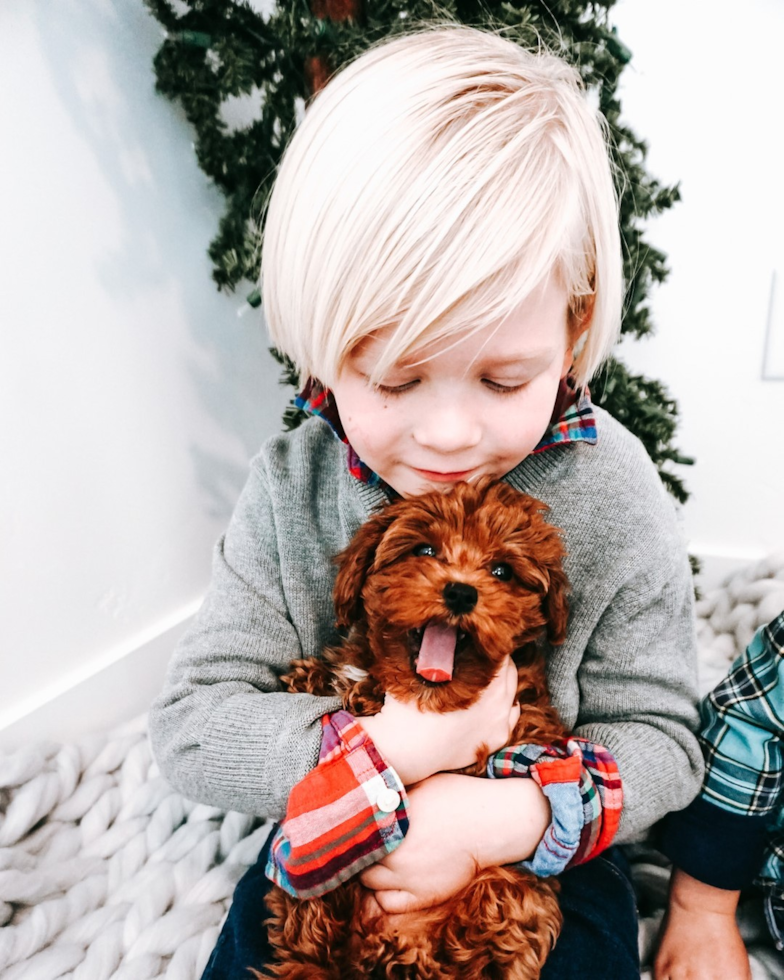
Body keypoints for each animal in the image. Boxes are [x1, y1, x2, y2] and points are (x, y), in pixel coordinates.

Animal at [264, 482, 568, 980]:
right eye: (424, 549)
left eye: (502, 571)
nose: (461, 593)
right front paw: (314, 679)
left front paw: (359, 693)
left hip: (511, 892)